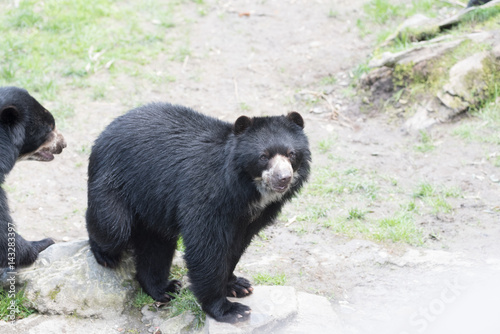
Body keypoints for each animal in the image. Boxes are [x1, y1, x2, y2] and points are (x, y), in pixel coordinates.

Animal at [88, 102, 310, 324]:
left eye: (291, 153)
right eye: (263, 156)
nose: (283, 178)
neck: (247, 190)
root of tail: (104, 132)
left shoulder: (253, 216)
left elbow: (235, 247)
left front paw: (238, 285)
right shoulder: (208, 197)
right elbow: (206, 248)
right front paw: (230, 310)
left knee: (156, 244)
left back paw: (164, 289)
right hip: (115, 180)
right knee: (113, 227)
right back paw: (105, 255)